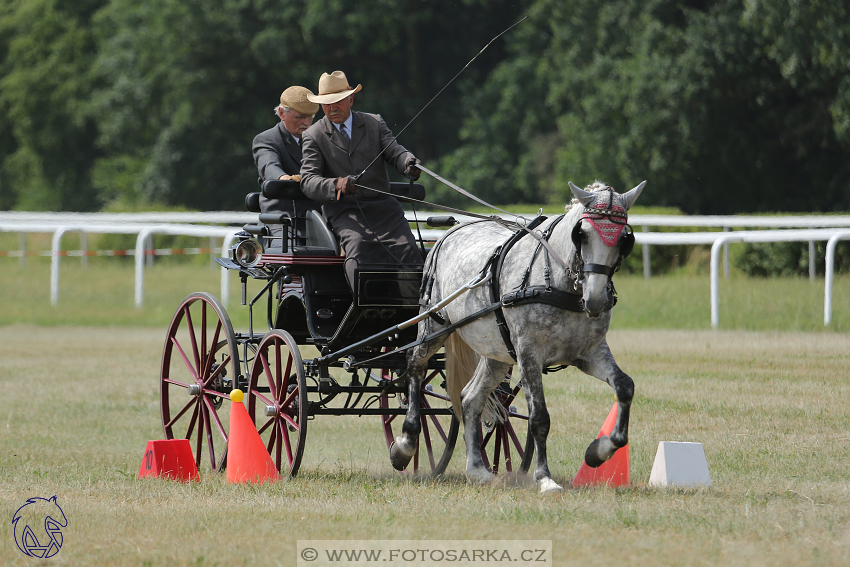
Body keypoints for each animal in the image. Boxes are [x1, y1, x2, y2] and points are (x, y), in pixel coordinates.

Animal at [390, 181, 644, 492]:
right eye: (582, 234)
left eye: (624, 239)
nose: (596, 299)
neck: (558, 283)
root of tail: (448, 233)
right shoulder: (528, 354)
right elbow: (540, 418)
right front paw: (544, 478)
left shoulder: (590, 353)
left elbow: (625, 386)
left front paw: (599, 451)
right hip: (433, 325)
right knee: (416, 367)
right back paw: (406, 444)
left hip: (496, 353)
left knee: (469, 399)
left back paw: (477, 470)